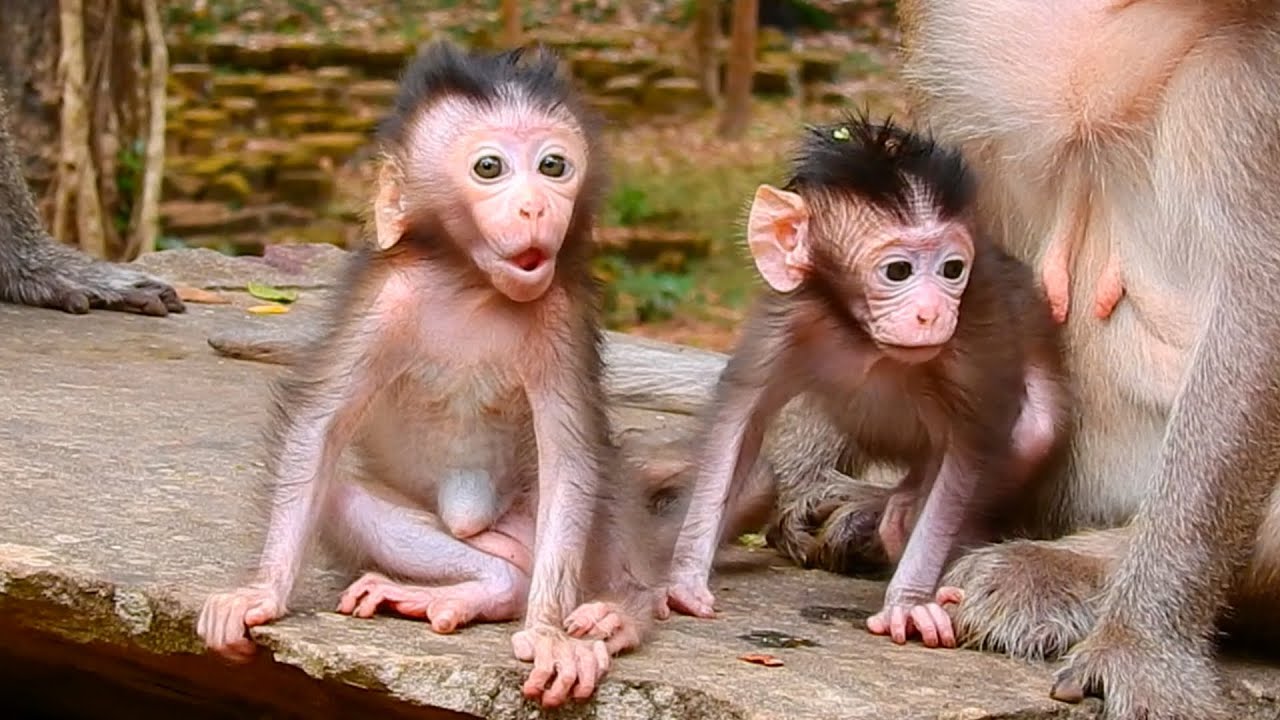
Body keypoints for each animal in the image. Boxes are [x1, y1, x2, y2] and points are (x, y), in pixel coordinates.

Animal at [195, 42, 669, 709]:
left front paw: (549, 635)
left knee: (607, 472)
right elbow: (318, 428)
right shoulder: (386, 302)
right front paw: (261, 593)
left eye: (553, 165)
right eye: (490, 167)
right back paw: (483, 588)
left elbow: (572, 455)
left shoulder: (559, 315)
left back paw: (619, 610)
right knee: (346, 499)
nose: (536, 205)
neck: (472, 287)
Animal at [662, 114, 1072, 649]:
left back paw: (903, 511)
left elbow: (969, 450)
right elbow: (738, 425)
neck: (863, 338)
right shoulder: (789, 319)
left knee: (1030, 431)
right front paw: (683, 580)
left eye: (953, 269)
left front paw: (909, 604)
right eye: (898, 271)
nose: (932, 312)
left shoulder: (973, 338)